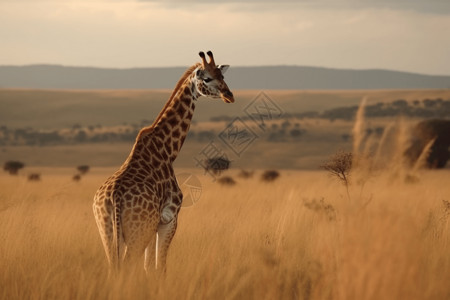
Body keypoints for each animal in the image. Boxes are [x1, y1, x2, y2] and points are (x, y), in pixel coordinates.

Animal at [91, 51, 234, 274]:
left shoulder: (155, 224)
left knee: (115, 268)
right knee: (126, 266)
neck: (167, 150)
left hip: (108, 232)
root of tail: (114, 198)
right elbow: (160, 268)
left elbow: (148, 267)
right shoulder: (169, 219)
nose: (229, 95)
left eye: (222, 75)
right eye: (206, 78)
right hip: (138, 232)